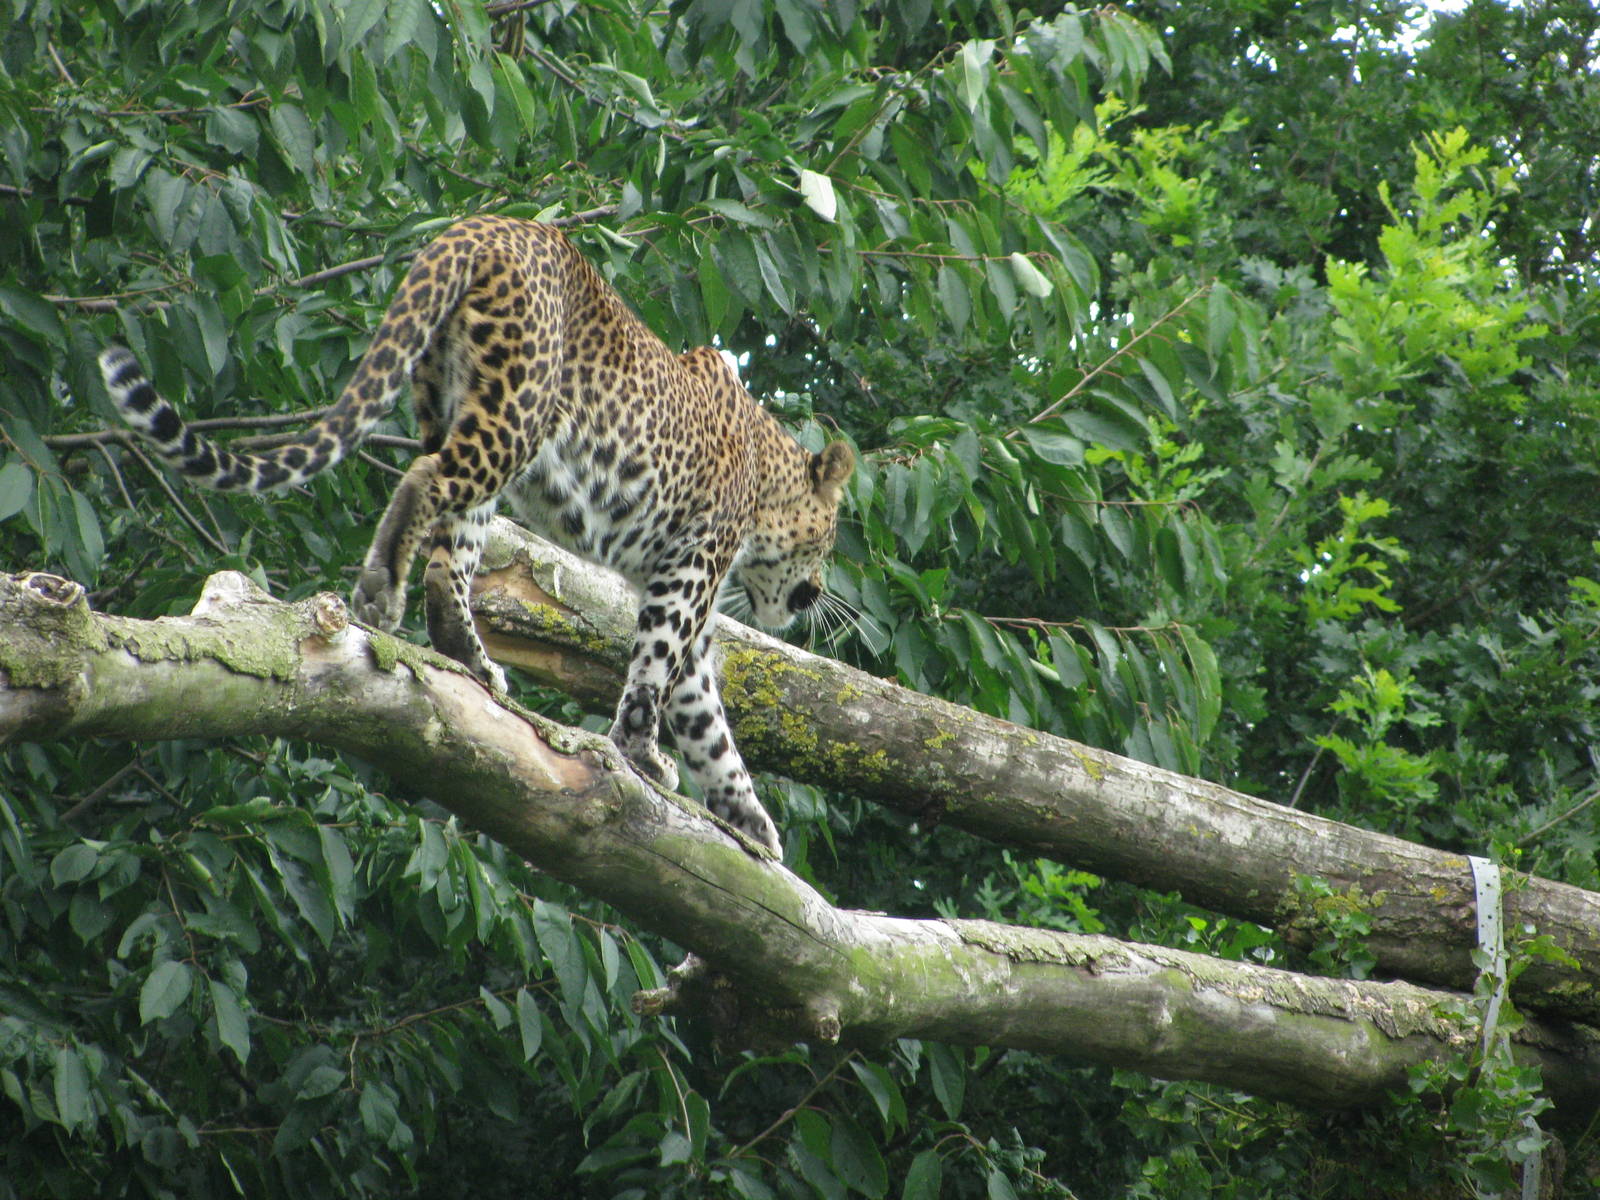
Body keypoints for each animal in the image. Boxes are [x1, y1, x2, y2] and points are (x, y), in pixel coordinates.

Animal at [97, 214, 854, 855]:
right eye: (829, 539)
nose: (817, 593)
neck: (766, 478)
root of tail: (483, 226)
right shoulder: (692, 568)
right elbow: (656, 675)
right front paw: (640, 754)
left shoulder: (683, 586)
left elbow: (703, 714)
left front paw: (747, 817)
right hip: (517, 415)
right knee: (425, 480)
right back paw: (381, 593)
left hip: (455, 405)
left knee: (447, 558)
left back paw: (472, 660)